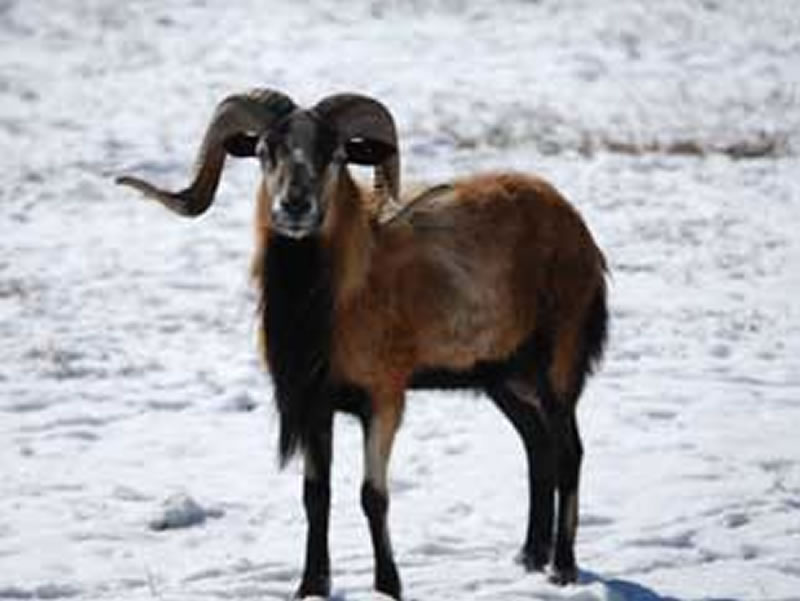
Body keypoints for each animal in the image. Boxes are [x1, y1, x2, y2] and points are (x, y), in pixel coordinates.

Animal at [117, 88, 608, 600]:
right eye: (265, 151)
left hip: (558, 367)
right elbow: (316, 495)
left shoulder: (383, 401)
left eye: (334, 155)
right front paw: (311, 585)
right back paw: (529, 557)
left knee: (568, 452)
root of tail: (578, 231)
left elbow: (373, 496)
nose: (294, 206)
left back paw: (562, 568)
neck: (335, 303)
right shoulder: (317, 406)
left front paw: (388, 585)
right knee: (537, 448)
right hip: (504, 380)